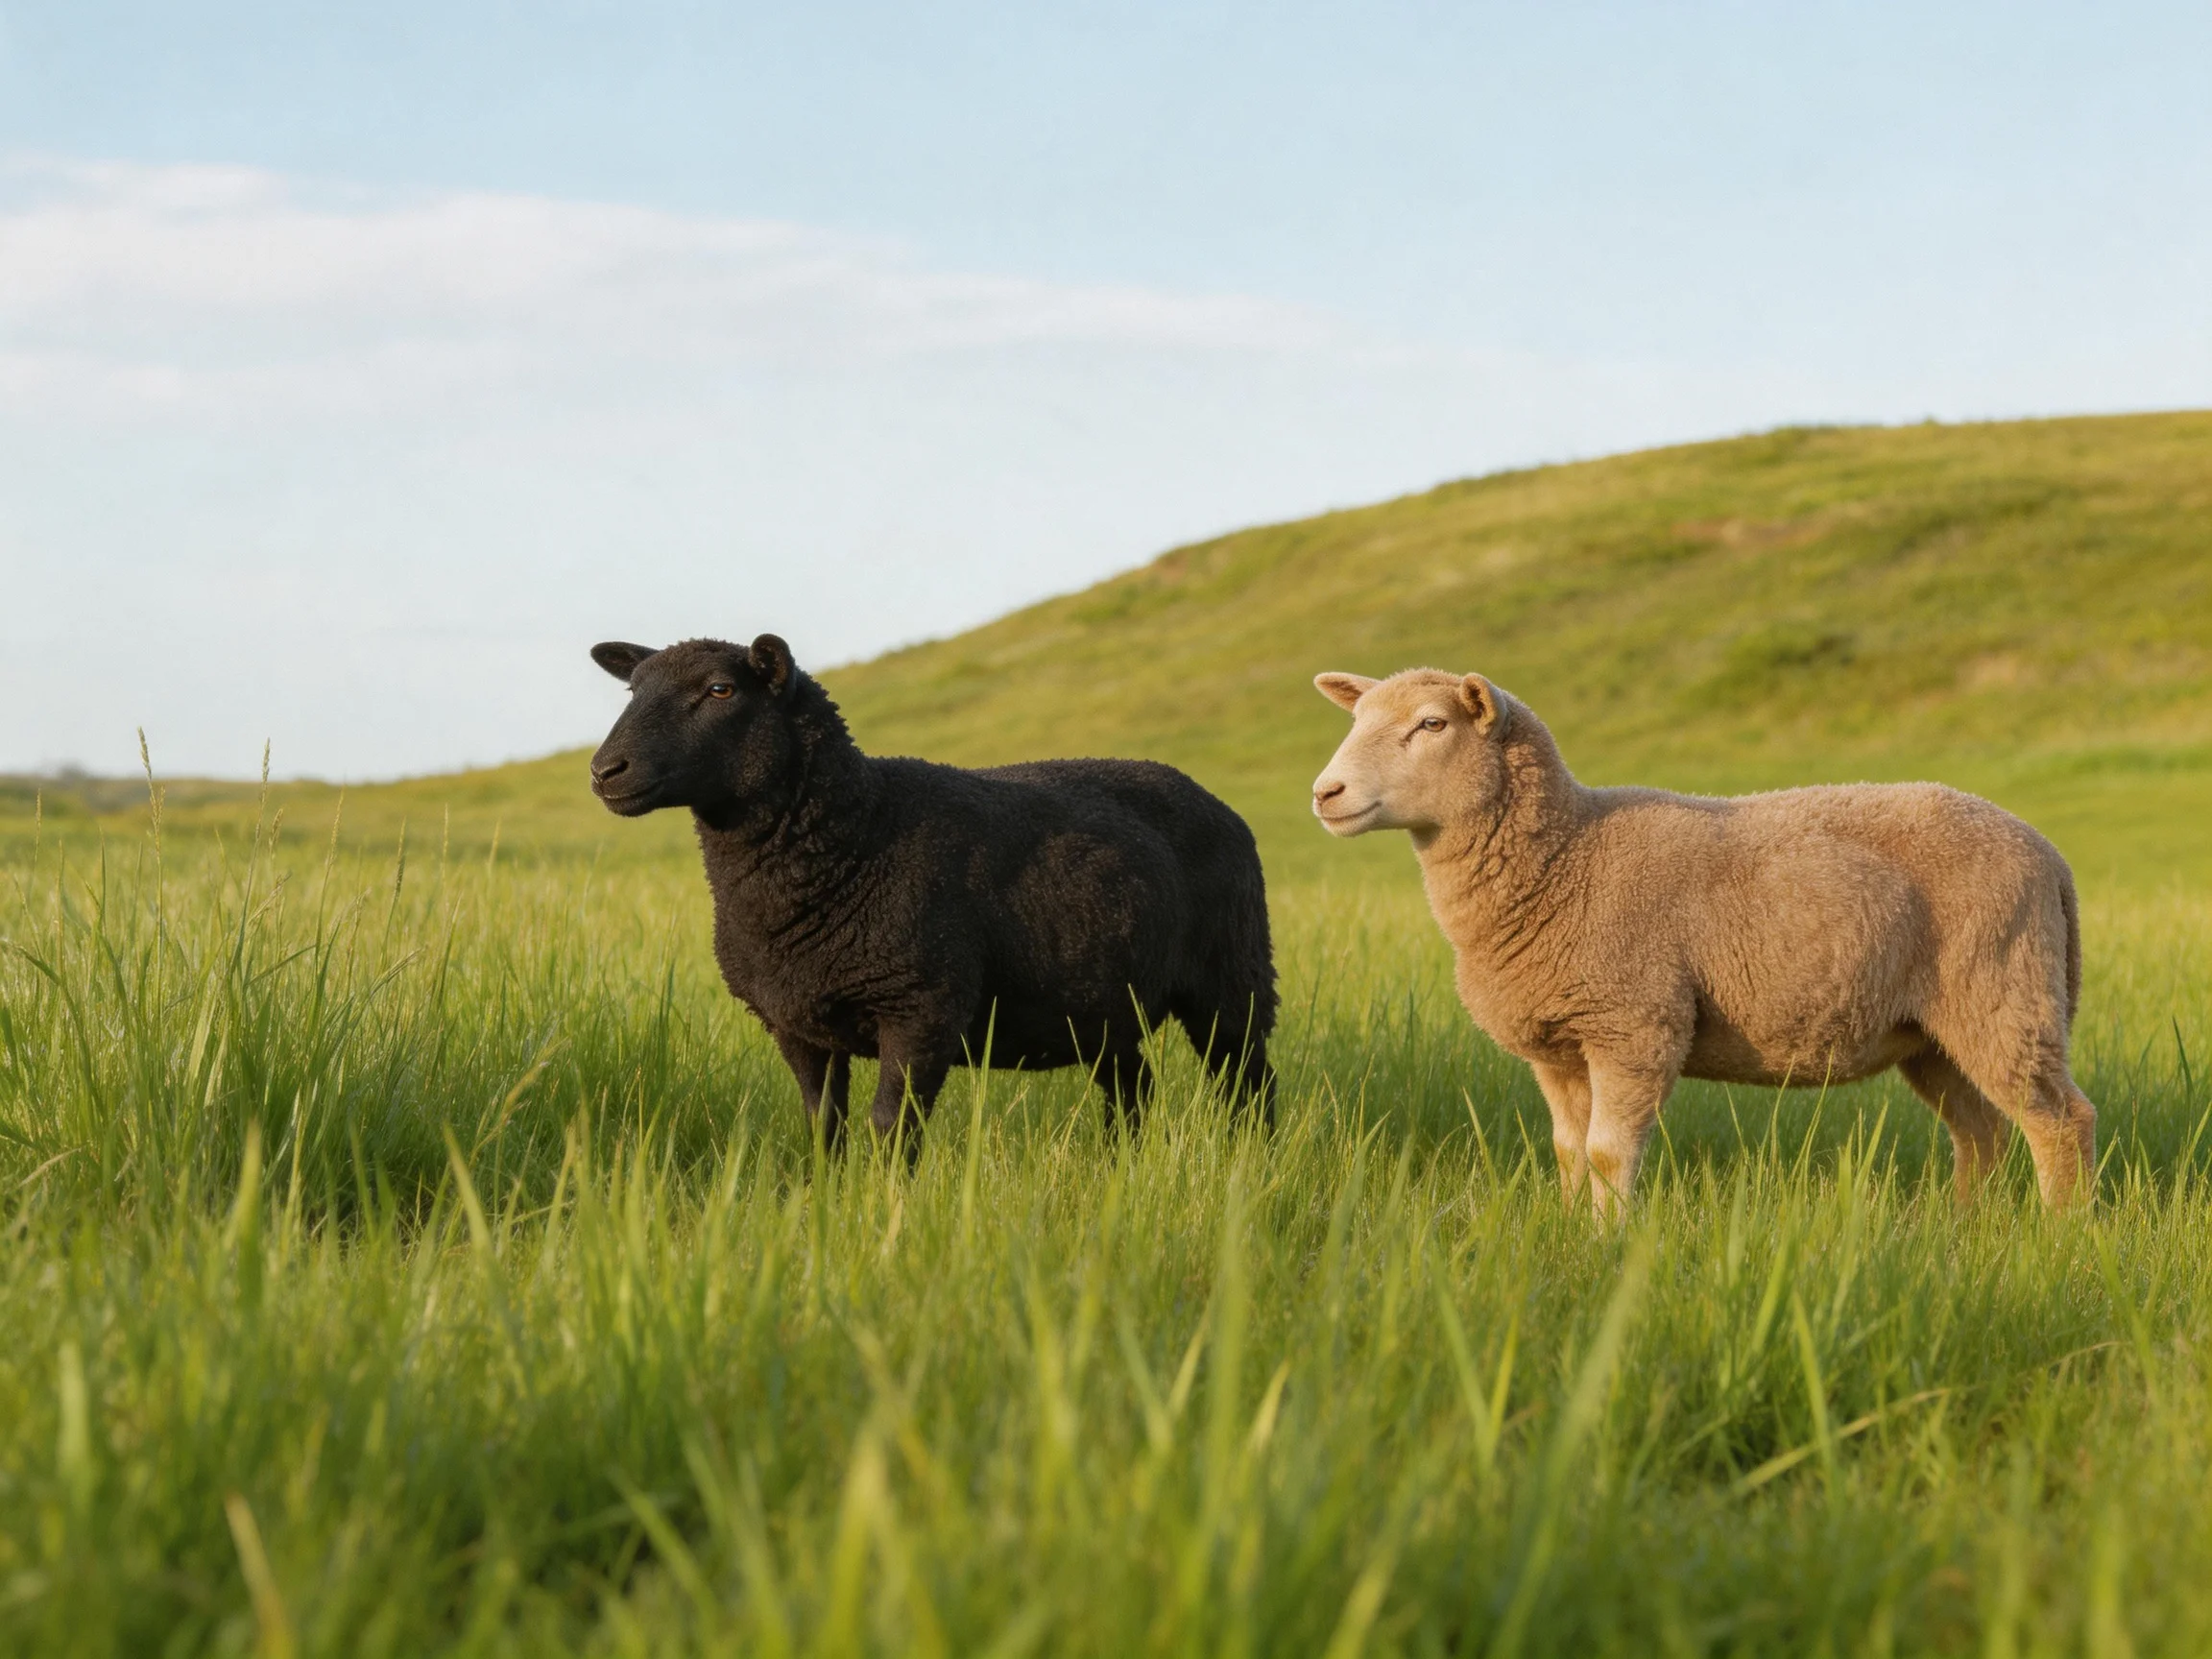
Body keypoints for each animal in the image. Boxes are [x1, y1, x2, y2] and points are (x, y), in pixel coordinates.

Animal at [589, 633, 1275, 1153]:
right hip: (1104, 1001)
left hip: (1232, 977)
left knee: (1248, 1082)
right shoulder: (796, 1023)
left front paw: (883, 1216)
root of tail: (1215, 801)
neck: (861, 831)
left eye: (720, 690)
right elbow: (823, 1128)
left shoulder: (921, 1010)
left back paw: (1254, 1169)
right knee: (1134, 1088)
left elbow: (891, 1129)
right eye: (632, 691)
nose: (604, 771)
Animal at [1311, 667, 2098, 1214]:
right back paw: (1966, 1230)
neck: (1569, 855)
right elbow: (1568, 1153)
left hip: (2003, 991)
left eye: (1431, 724)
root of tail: (2050, 856)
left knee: (2061, 1122)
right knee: (1982, 1131)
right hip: (1934, 1031)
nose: (1325, 793)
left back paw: (2059, 1236)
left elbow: (1606, 1155)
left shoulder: (1633, 1023)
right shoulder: (1560, 1046)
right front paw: (1568, 1234)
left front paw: (1606, 1246)